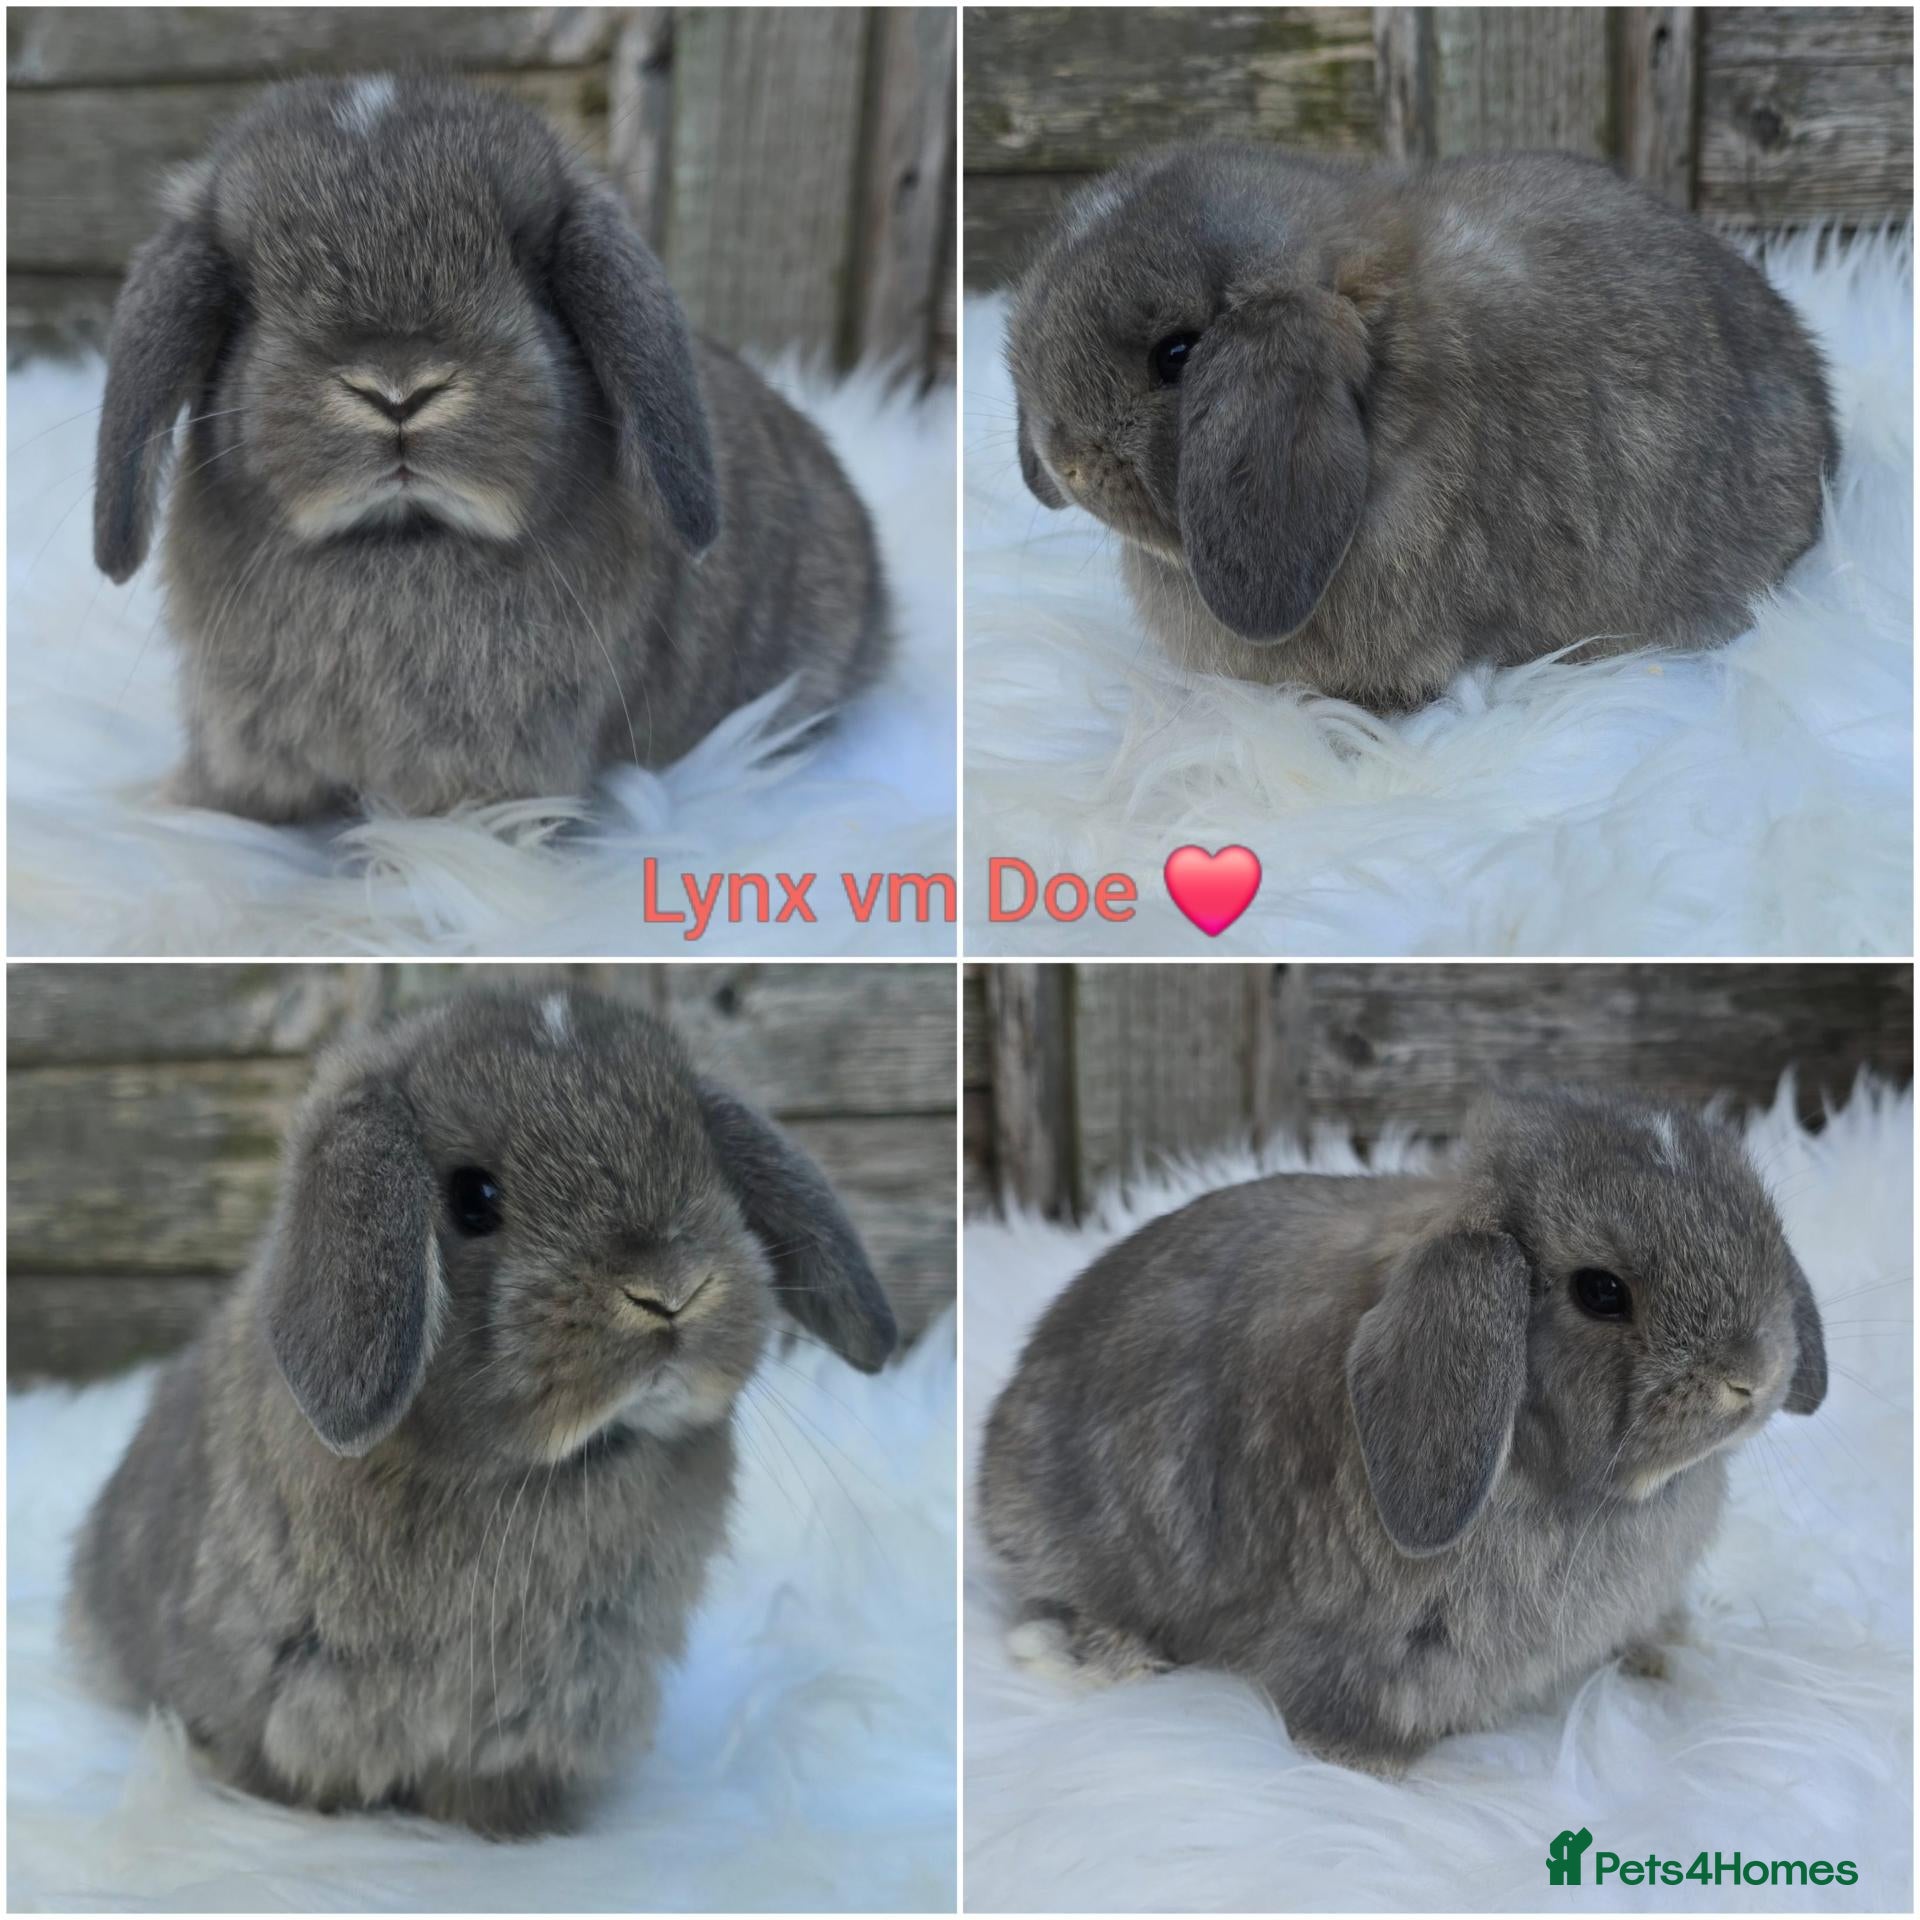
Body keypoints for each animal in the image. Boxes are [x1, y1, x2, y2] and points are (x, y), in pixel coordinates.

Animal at [978, 1088, 1827, 1775]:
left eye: (1766, 1228)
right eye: (1600, 1292)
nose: (1752, 1375)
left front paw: (1672, 1650)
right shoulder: (1368, 1650)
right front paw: (1376, 1773)